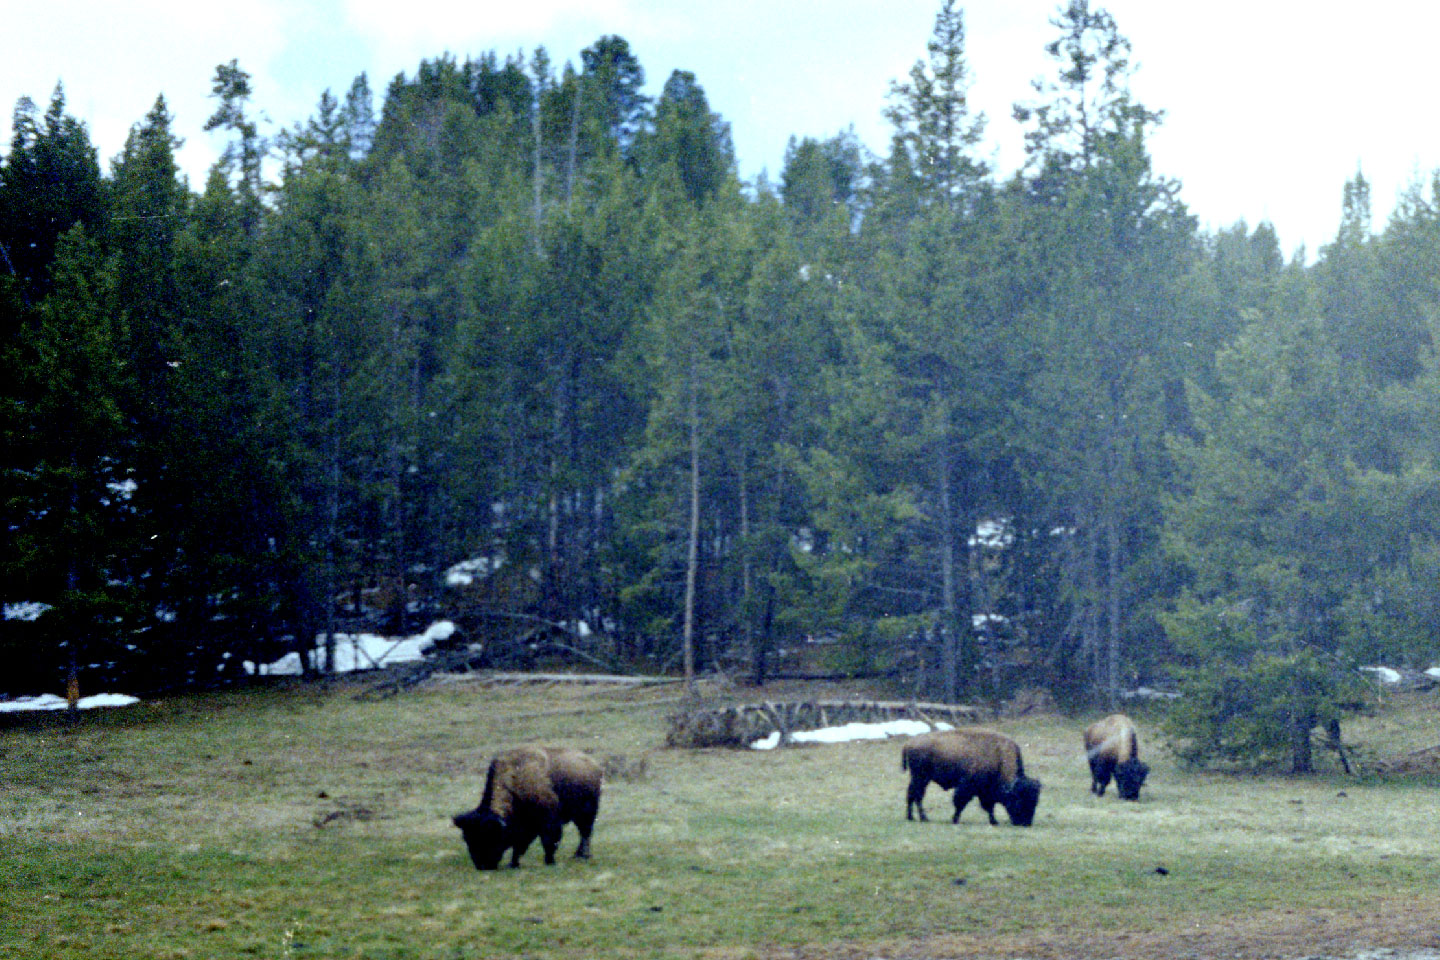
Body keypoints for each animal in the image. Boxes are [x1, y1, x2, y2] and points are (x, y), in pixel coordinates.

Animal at [455, 742, 601, 869]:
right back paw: (578, 855)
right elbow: (519, 845)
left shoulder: (548, 821)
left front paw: (549, 861)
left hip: (586, 812)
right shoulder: (525, 826)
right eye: (467, 838)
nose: (482, 866)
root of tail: (594, 765)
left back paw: (583, 855)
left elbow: (549, 841)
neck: (514, 781)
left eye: (490, 836)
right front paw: (513, 863)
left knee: (585, 832)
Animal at [892, 728, 1042, 829]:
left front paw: (994, 821)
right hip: (921, 777)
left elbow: (989, 807)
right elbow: (961, 802)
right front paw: (955, 819)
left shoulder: (985, 792)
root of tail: (909, 743)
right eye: (1018, 800)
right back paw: (923, 818)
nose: (1025, 823)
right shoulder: (968, 786)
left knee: (911, 794)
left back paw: (911, 817)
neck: (999, 757)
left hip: (919, 778)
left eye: (1035, 802)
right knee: (917, 796)